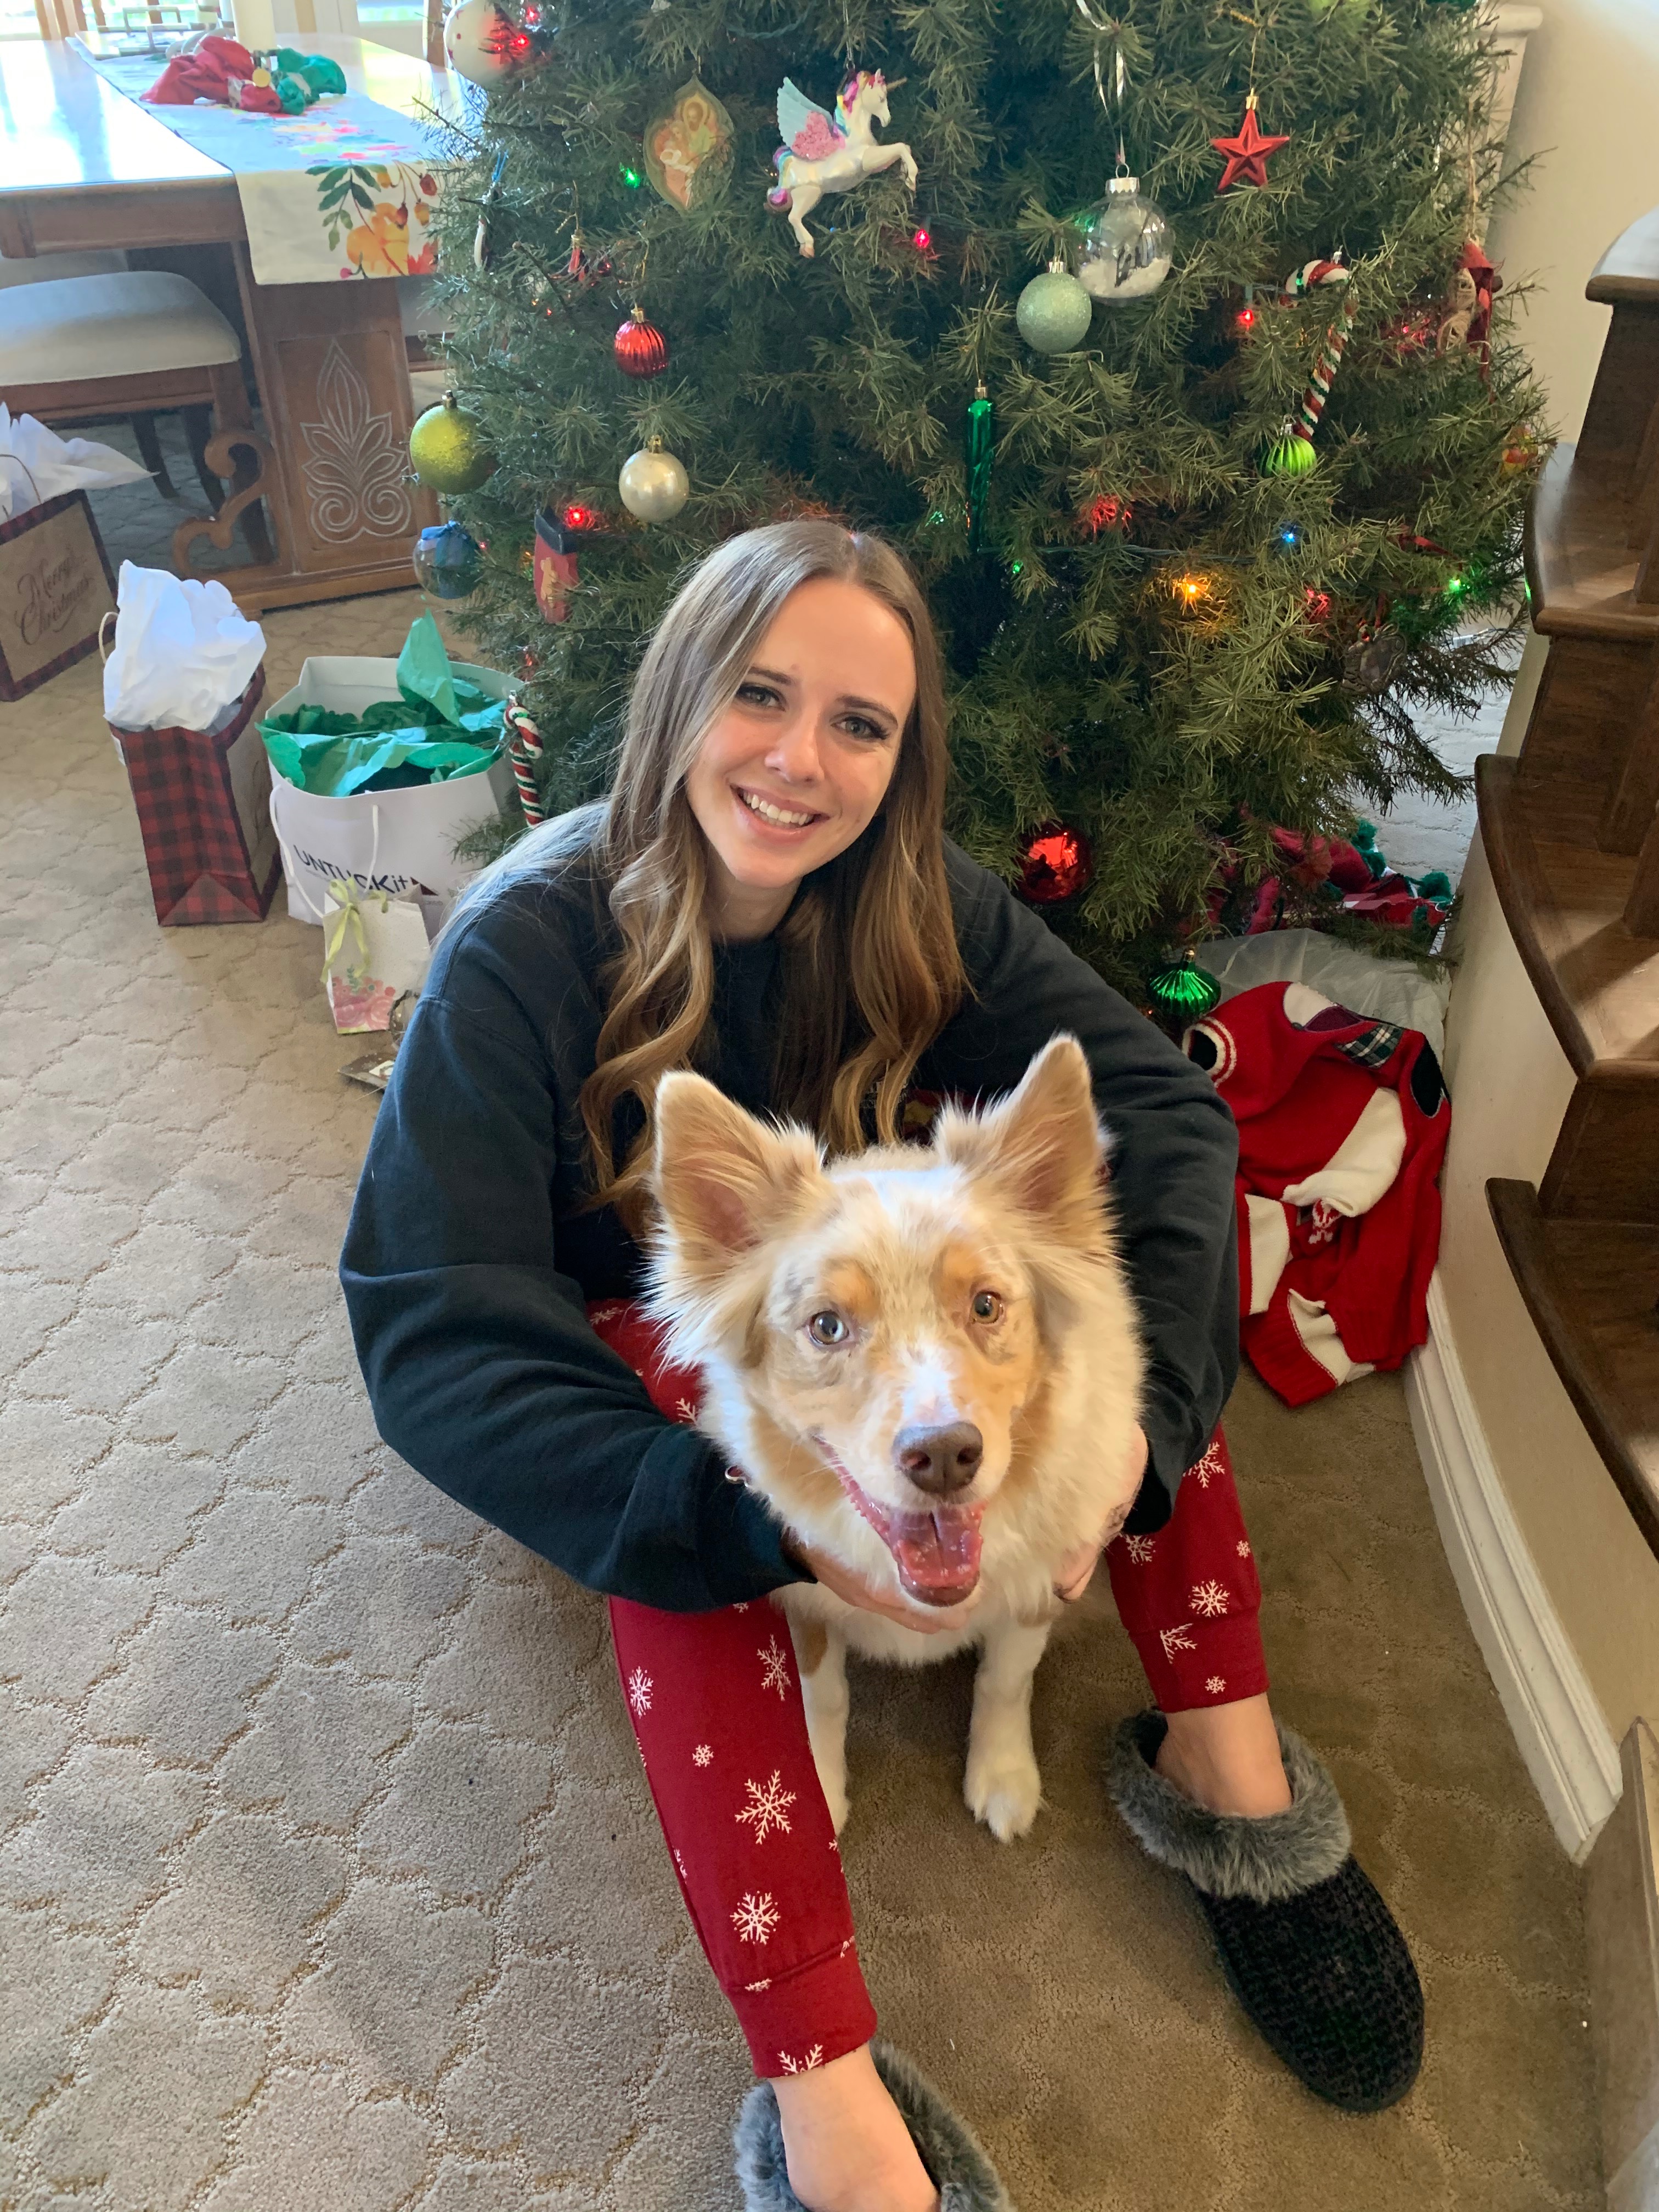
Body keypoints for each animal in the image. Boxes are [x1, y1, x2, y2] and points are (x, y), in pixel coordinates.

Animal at [645, 1035, 1147, 1842]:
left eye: (986, 1305)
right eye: (826, 1326)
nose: (943, 1455)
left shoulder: (1044, 1581)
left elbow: (1006, 1680)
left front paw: (1003, 1776)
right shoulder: (806, 1594)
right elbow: (822, 1696)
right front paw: (820, 1789)